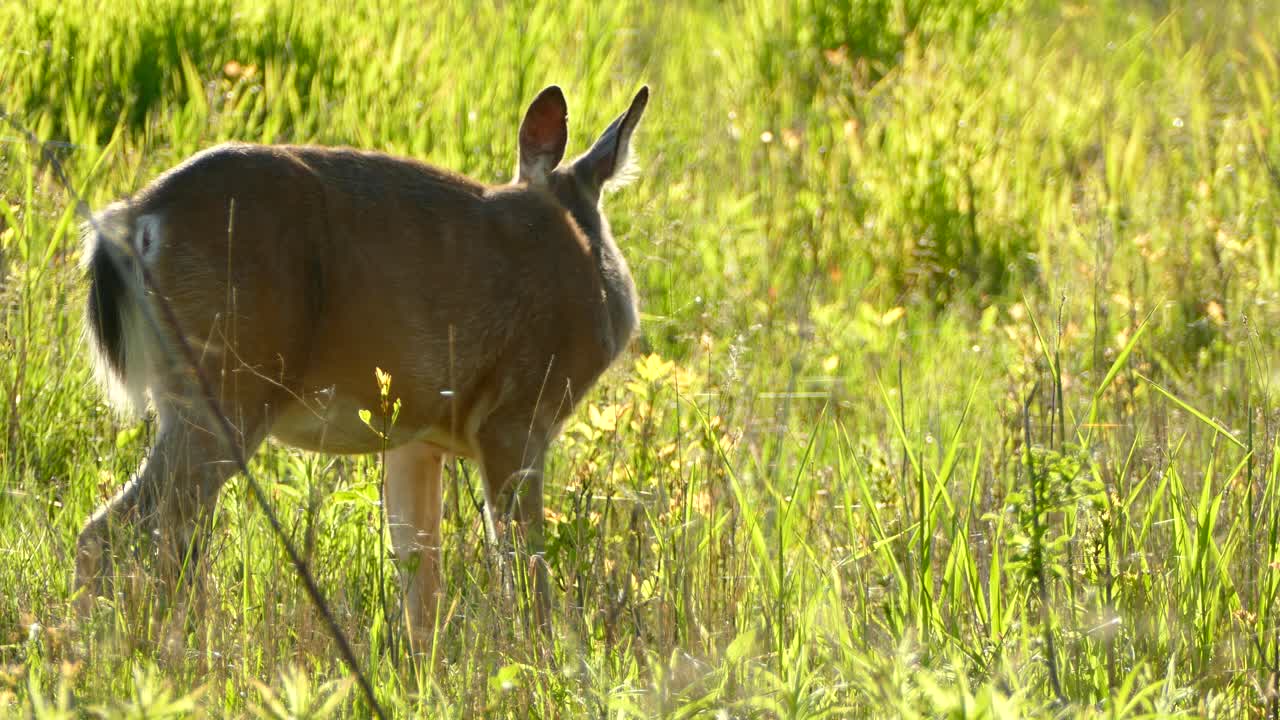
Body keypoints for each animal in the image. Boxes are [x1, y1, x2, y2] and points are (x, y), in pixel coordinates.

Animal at [75, 84, 649, 652]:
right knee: (124, 529)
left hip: (197, 388)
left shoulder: (418, 437)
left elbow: (420, 582)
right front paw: (543, 657)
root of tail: (137, 216)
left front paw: (424, 670)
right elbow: (525, 565)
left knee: (162, 534)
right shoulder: (517, 414)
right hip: (229, 381)